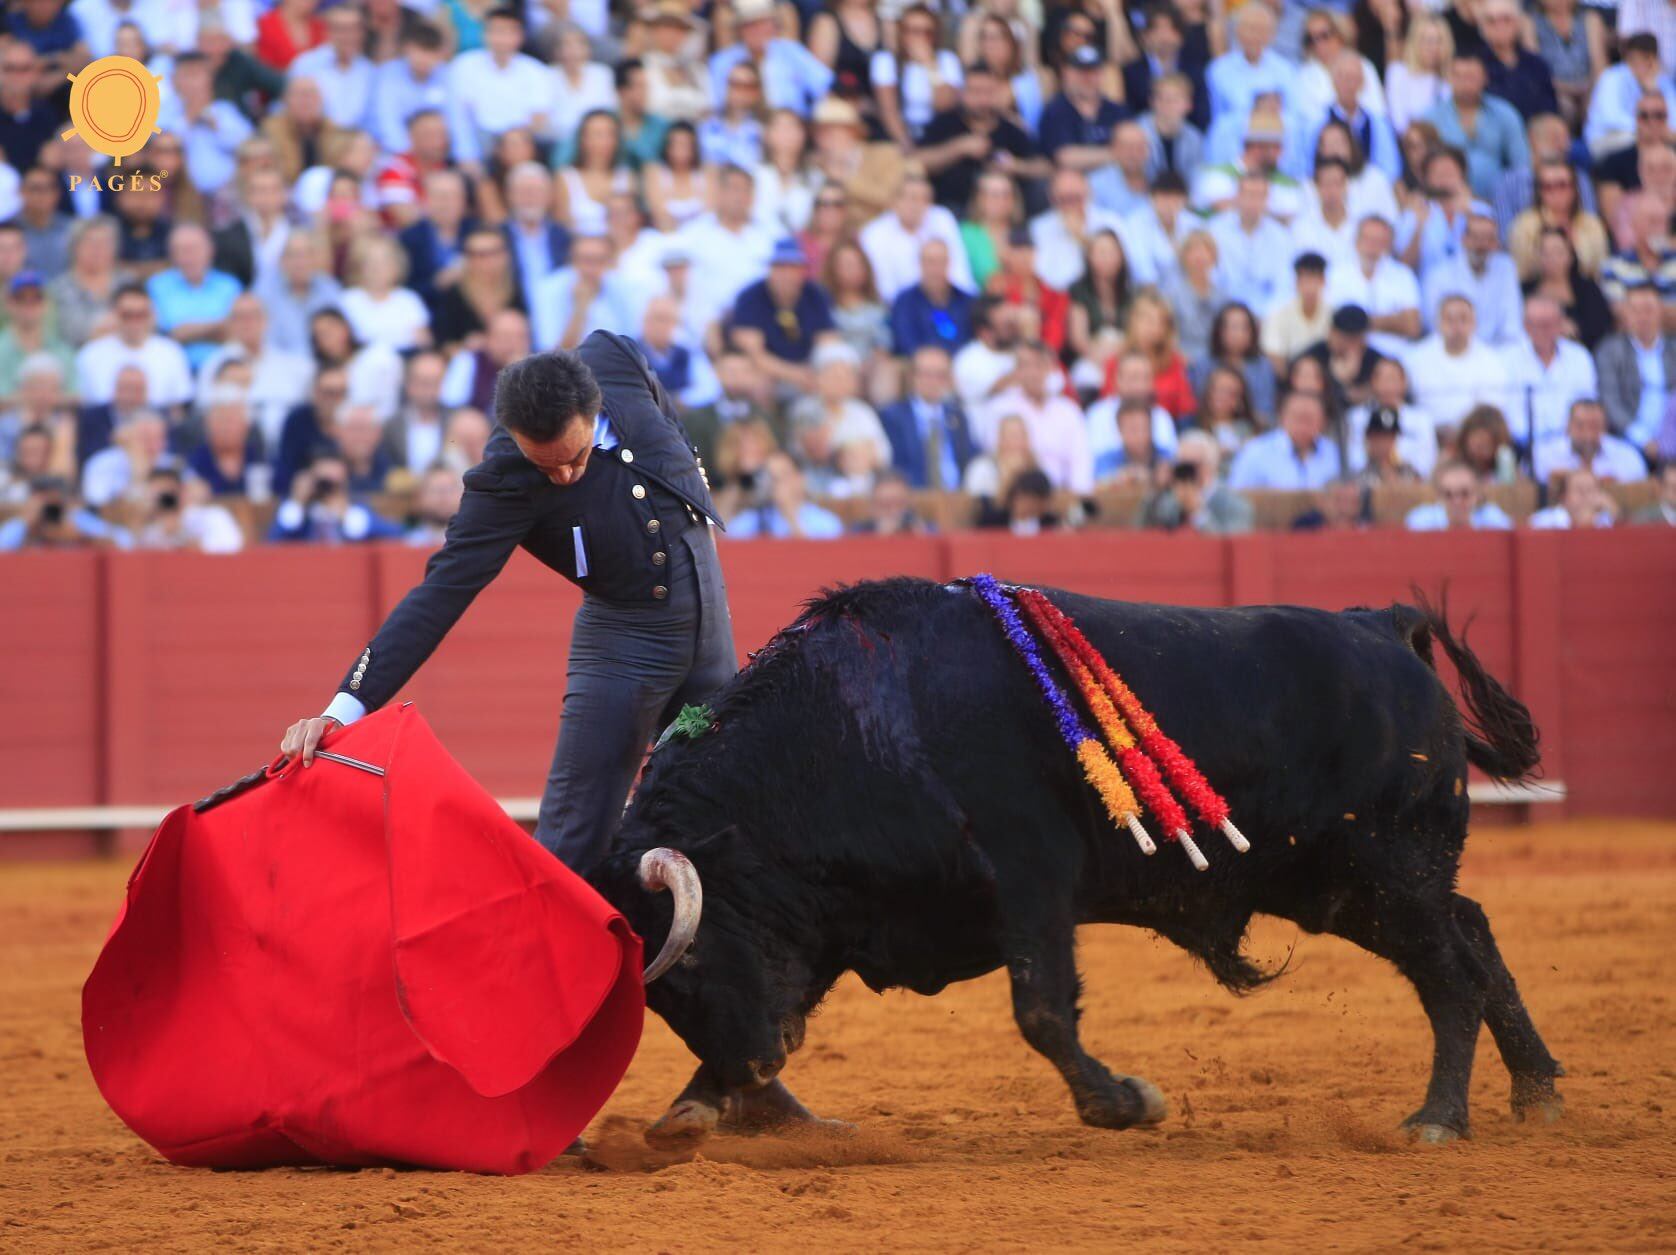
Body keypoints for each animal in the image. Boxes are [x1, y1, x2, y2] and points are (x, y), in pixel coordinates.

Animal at [586, 576, 1555, 1146]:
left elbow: (1042, 1009)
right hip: (1348, 887)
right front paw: (693, 1107)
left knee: (1453, 970)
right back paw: (1537, 1089)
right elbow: (802, 992)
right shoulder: (842, 915)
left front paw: (1124, 1102)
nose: (753, 1069)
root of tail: (1380, 626)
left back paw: (1437, 1119)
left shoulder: (1035, 878)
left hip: (1388, 870)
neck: (856, 725)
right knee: (1474, 932)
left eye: (689, 962)